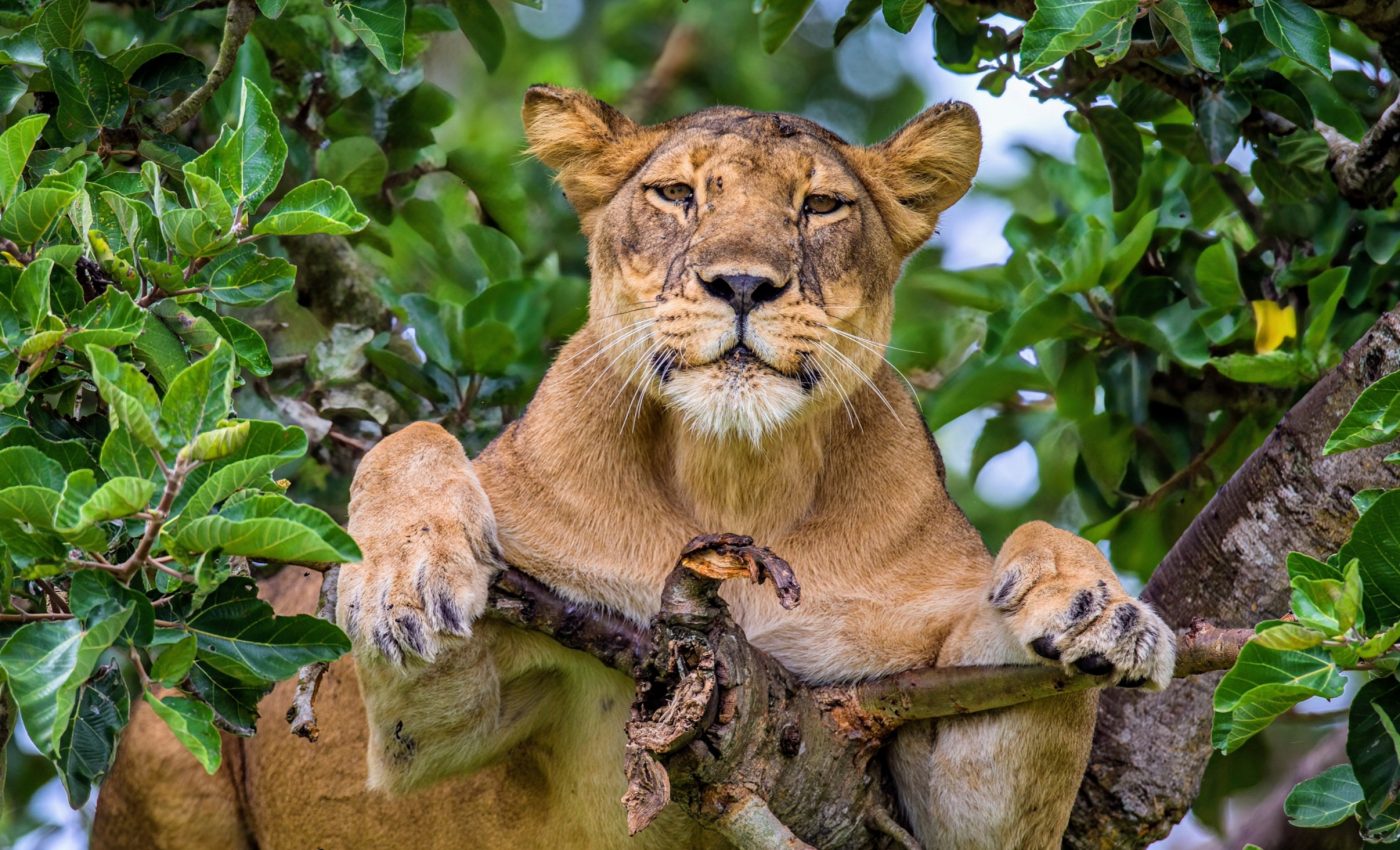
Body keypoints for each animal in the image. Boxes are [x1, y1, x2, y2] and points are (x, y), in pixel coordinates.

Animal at [92, 86, 1174, 850]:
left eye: (821, 205)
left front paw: (1097, 610)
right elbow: (415, 443)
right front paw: (404, 574)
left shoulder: (908, 751)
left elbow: (1022, 583)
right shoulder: (433, 725)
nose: (741, 283)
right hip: (159, 743)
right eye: (677, 193)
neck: (734, 474)